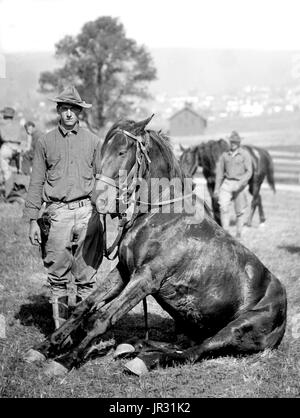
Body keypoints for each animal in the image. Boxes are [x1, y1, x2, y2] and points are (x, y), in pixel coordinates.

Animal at [24, 116, 288, 376]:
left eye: (121, 152)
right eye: (101, 152)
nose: (98, 199)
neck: (160, 215)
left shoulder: (146, 279)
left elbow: (103, 318)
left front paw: (67, 359)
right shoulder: (124, 271)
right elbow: (84, 306)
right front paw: (45, 346)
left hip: (235, 329)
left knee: (193, 352)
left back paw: (142, 360)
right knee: (181, 344)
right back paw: (131, 346)